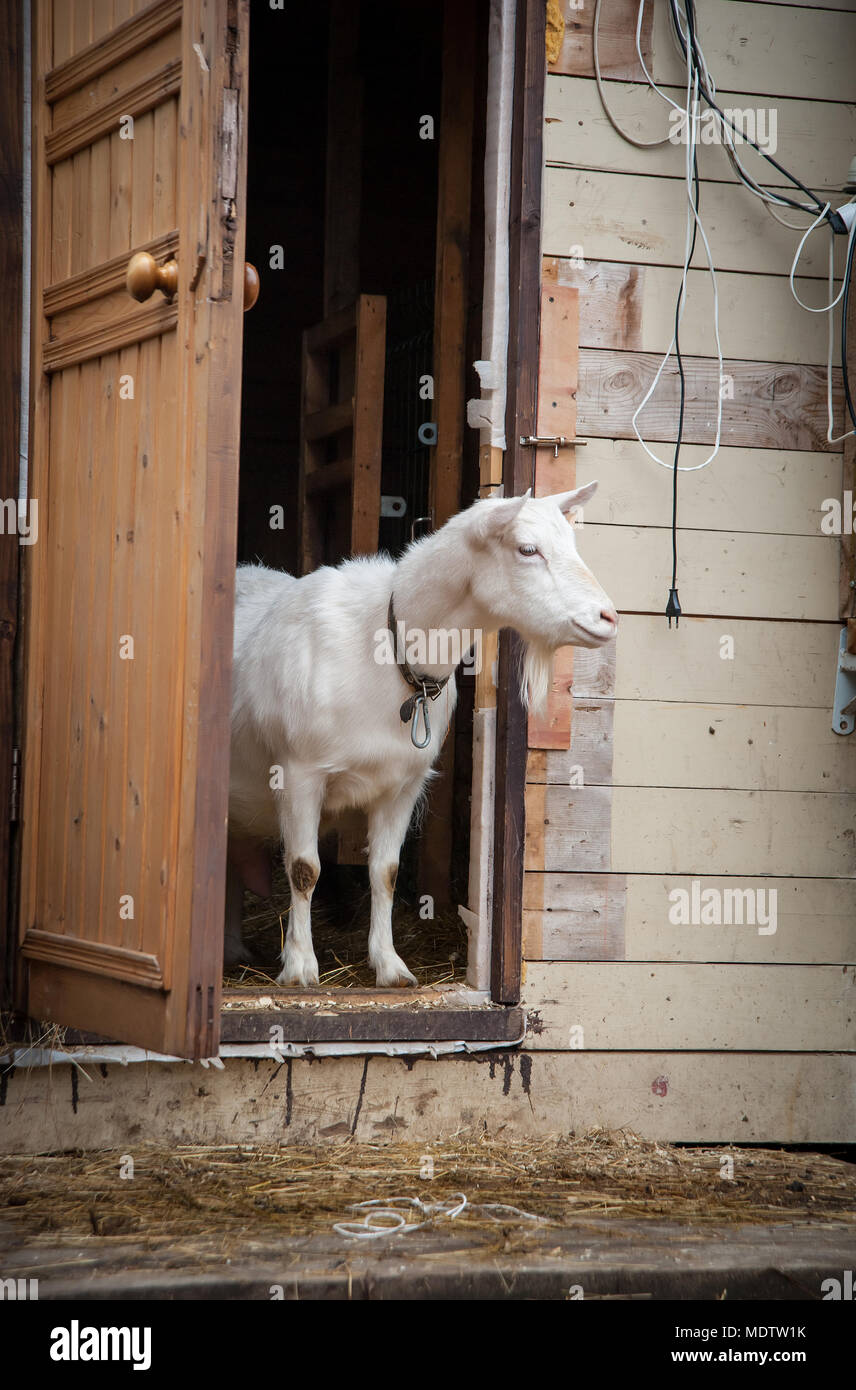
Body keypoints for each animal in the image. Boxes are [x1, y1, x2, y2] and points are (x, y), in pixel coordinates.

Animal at [227, 489, 614, 989]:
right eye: (528, 549)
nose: (608, 617)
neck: (385, 650)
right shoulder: (298, 773)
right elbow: (304, 869)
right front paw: (299, 968)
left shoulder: (403, 785)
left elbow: (386, 871)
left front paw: (391, 967)